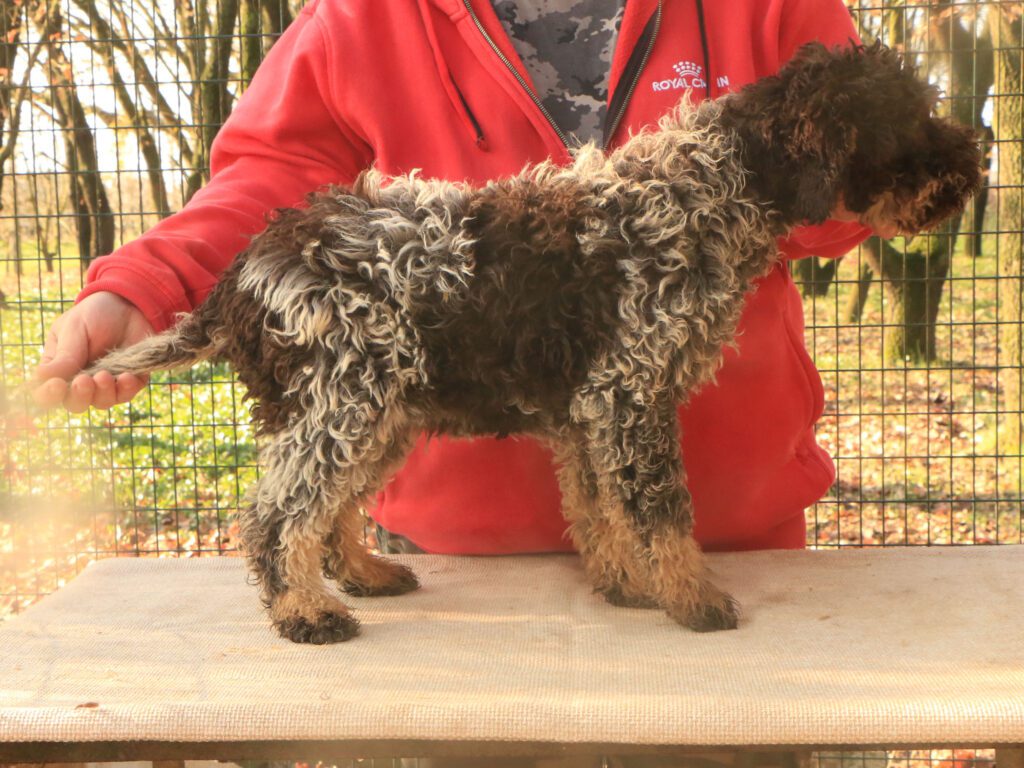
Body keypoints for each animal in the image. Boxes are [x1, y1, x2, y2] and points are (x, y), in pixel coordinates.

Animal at [92, 41, 978, 643]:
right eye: (907, 123)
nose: (971, 169)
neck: (703, 194)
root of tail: (247, 269)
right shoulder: (629, 396)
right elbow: (661, 511)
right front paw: (692, 597)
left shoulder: (594, 410)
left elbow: (599, 508)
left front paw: (625, 585)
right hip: (341, 403)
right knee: (280, 516)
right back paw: (306, 611)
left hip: (382, 412)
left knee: (329, 511)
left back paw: (364, 574)